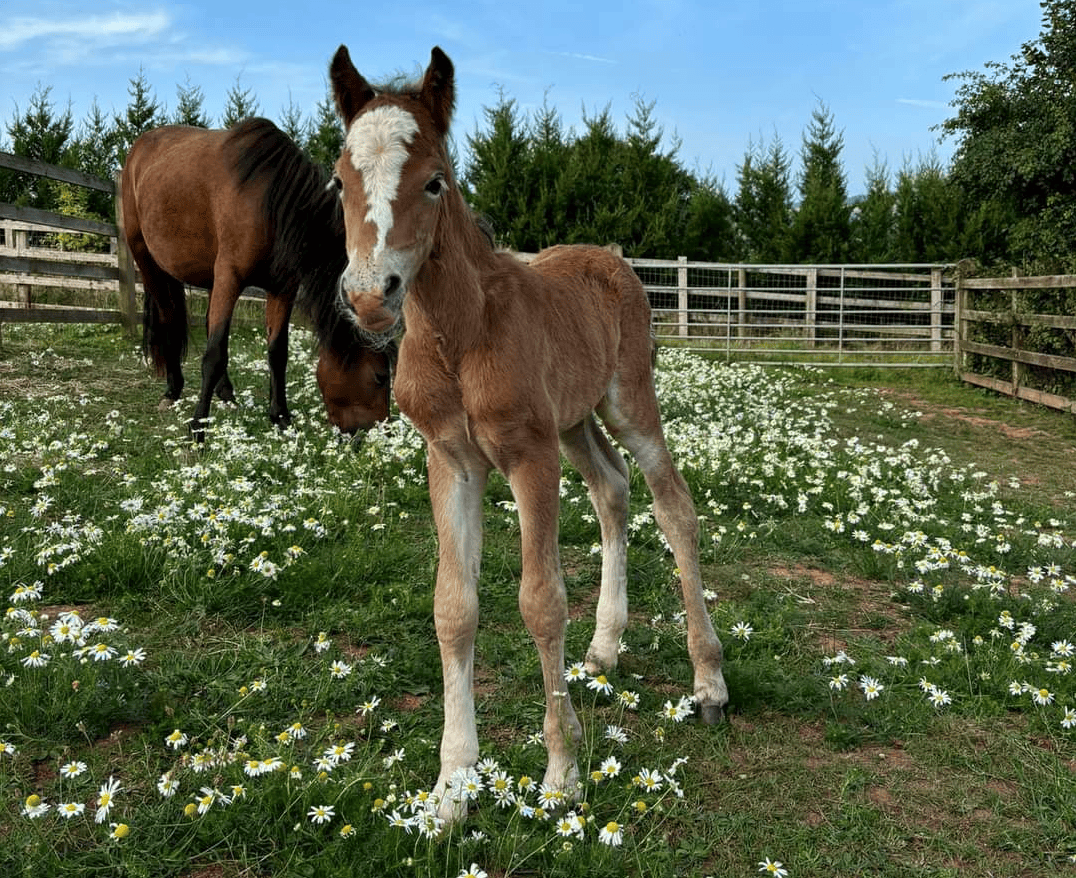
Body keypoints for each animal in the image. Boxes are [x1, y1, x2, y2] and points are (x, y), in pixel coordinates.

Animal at [119, 118, 394, 439]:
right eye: (380, 377)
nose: (381, 433)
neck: (271, 203)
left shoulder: (282, 288)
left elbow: (277, 352)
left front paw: (281, 417)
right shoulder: (230, 278)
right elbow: (214, 354)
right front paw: (198, 428)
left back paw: (226, 393)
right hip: (147, 260)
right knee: (168, 320)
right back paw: (172, 391)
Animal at [328, 45, 728, 823]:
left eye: (434, 181)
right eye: (338, 180)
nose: (369, 296)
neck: (461, 333)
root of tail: (612, 257)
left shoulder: (528, 457)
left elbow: (541, 603)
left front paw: (562, 774)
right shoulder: (452, 460)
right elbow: (454, 609)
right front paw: (451, 789)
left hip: (626, 402)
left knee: (673, 504)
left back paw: (709, 682)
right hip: (574, 421)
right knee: (612, 489)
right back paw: (604, 648)